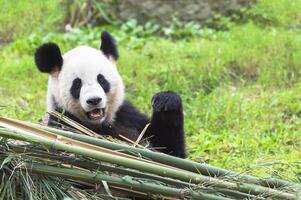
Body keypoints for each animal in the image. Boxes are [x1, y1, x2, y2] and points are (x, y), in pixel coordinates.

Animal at [35, 31, 185, 158]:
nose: (94, 100)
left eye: (101, 79)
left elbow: (169, 150)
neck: (100, 122)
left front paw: (166, 102)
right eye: (77, 84)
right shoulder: (63, 121)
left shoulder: (126, 114)